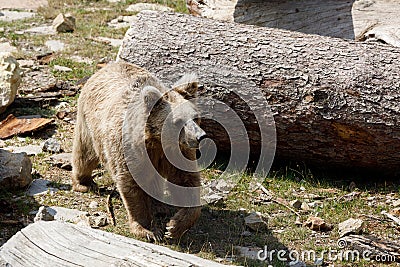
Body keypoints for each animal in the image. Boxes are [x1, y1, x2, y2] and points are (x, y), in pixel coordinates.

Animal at [70, 61, 206, 242]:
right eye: (178, 121)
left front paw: (174, 227)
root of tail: (106, 67)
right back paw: (83, 183)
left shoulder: (176, 153)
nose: (200, 136)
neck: (157, 142)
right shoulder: (128, 150)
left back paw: (159, 206)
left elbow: (186, 180)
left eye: (195, 117)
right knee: (85, 154)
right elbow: (131, 184)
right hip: (89, 124)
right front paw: (147, 230)